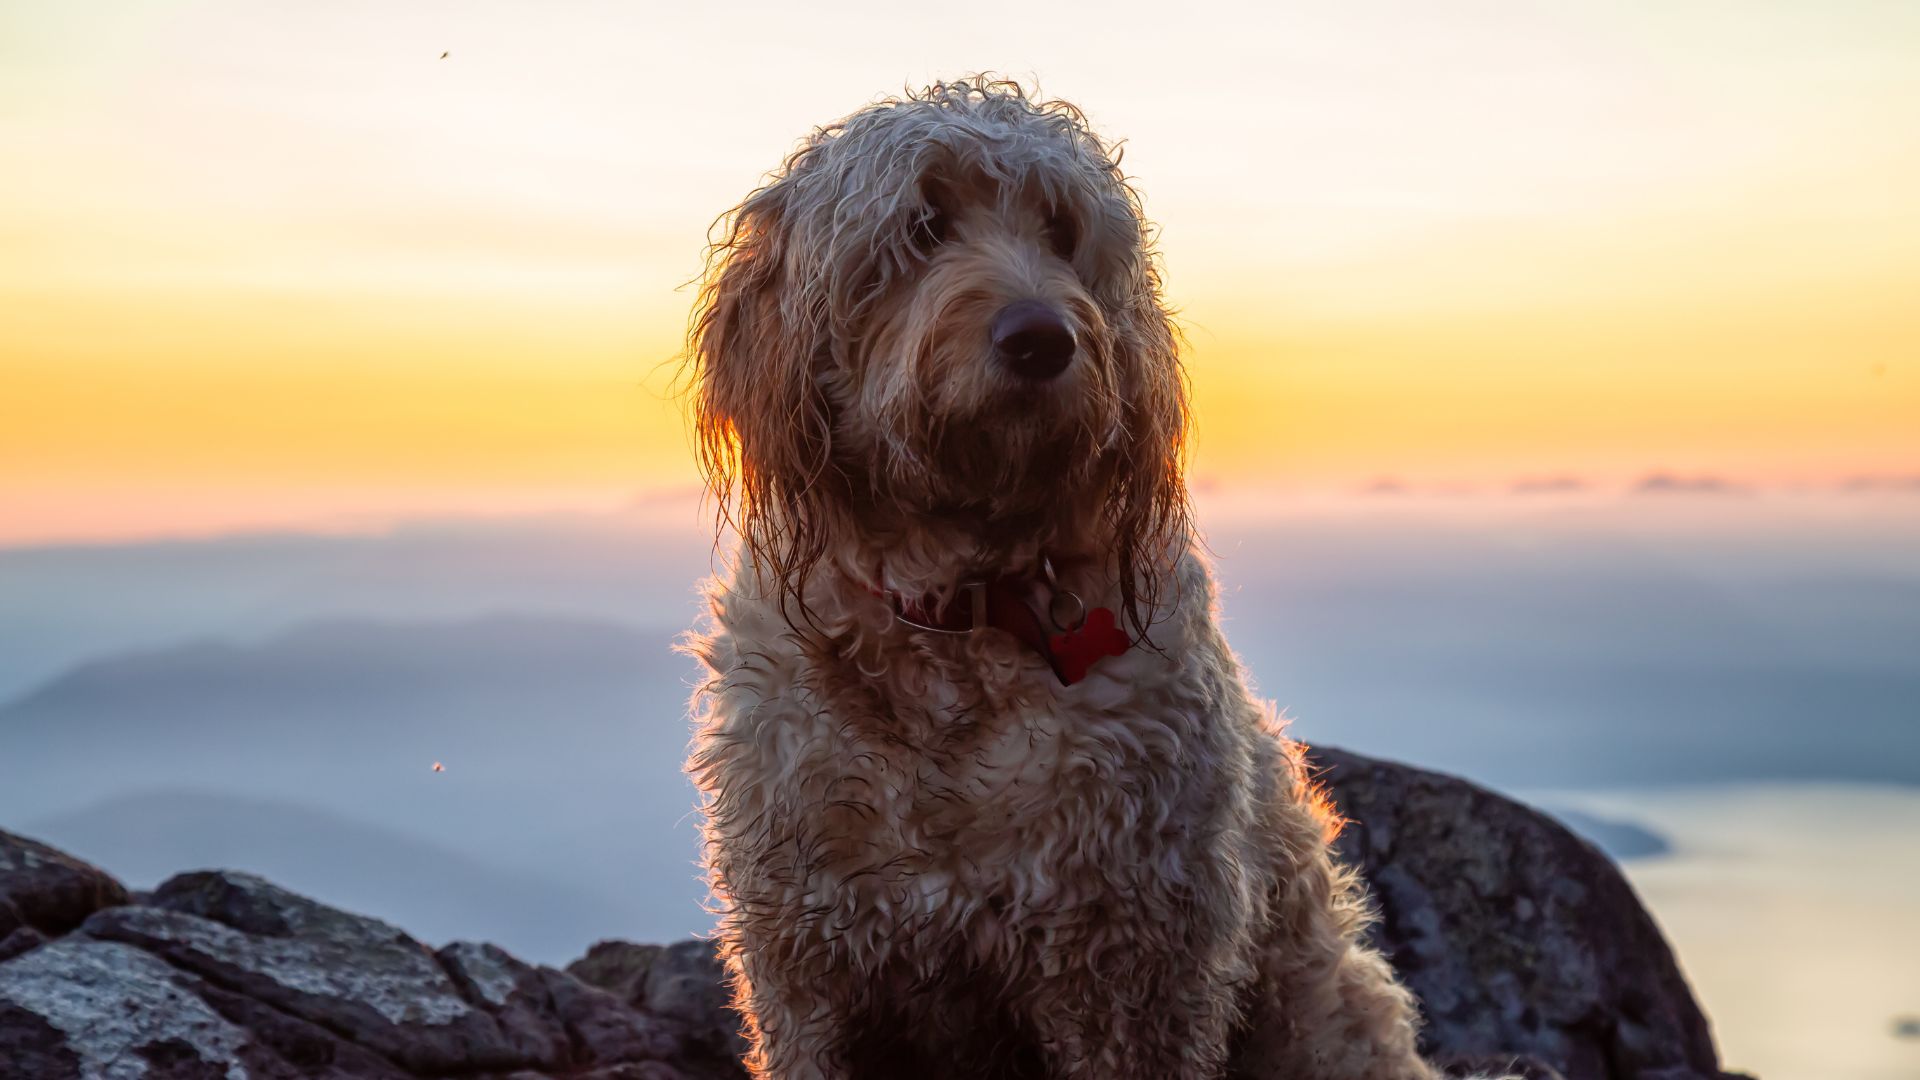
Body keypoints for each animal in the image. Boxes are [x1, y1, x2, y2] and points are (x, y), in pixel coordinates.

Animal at [687, 77, 1482, 1076]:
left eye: (1062, 231)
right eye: (923, 224)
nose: (1041, 338)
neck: (962, 618)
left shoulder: (1131, 967)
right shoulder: (812, 971)